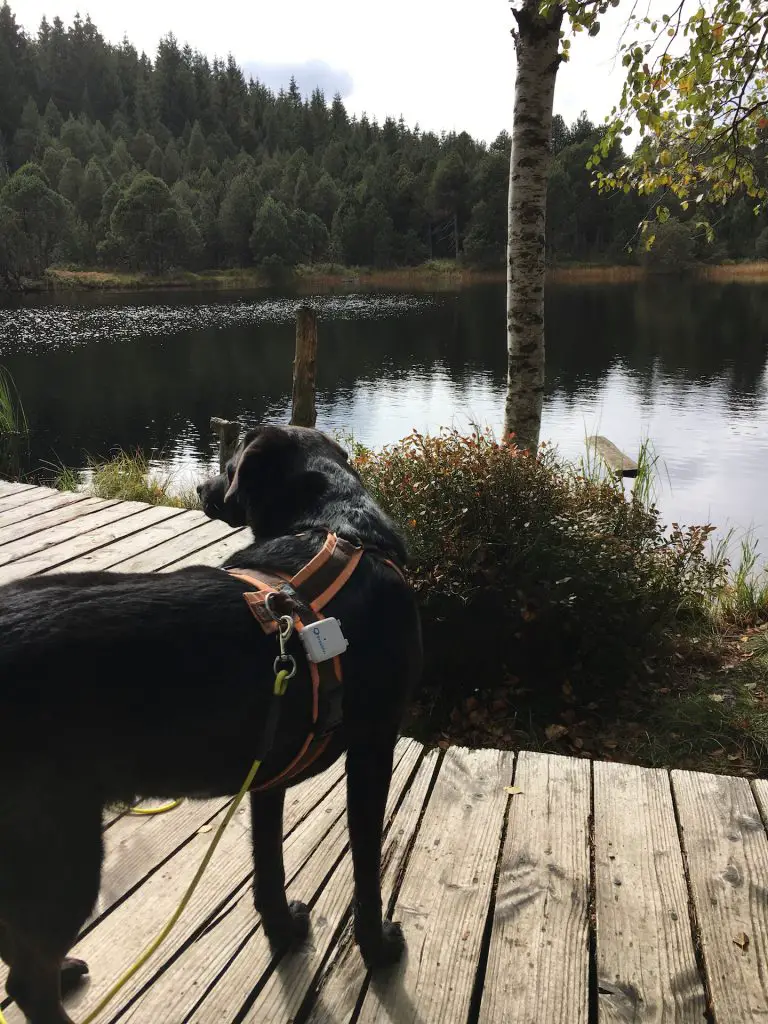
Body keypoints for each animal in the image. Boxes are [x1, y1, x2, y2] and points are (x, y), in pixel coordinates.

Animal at [0, 423, 421, 1024]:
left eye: (228, 464)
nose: (200, 486)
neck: (336, 529)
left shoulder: (268, 768)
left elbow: (267, 862)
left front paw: (283, 930)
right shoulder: (373, 747)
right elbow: (366, 868)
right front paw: (378, 948)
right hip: (58, 847)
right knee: (26, 979)